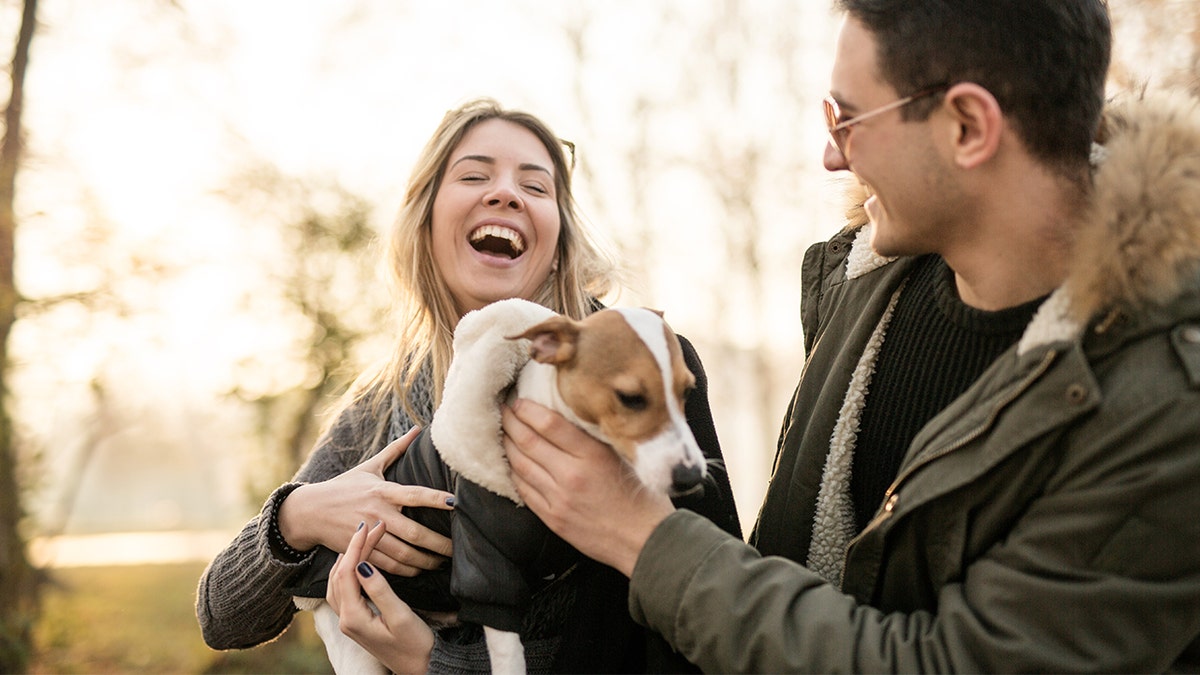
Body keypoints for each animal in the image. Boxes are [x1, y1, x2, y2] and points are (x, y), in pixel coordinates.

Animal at [291, 299, 705, 672]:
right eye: (630, 398)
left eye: (687, 391)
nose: (691, 476)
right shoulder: (485, 558)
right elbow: (508, 653)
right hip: (355, 645)